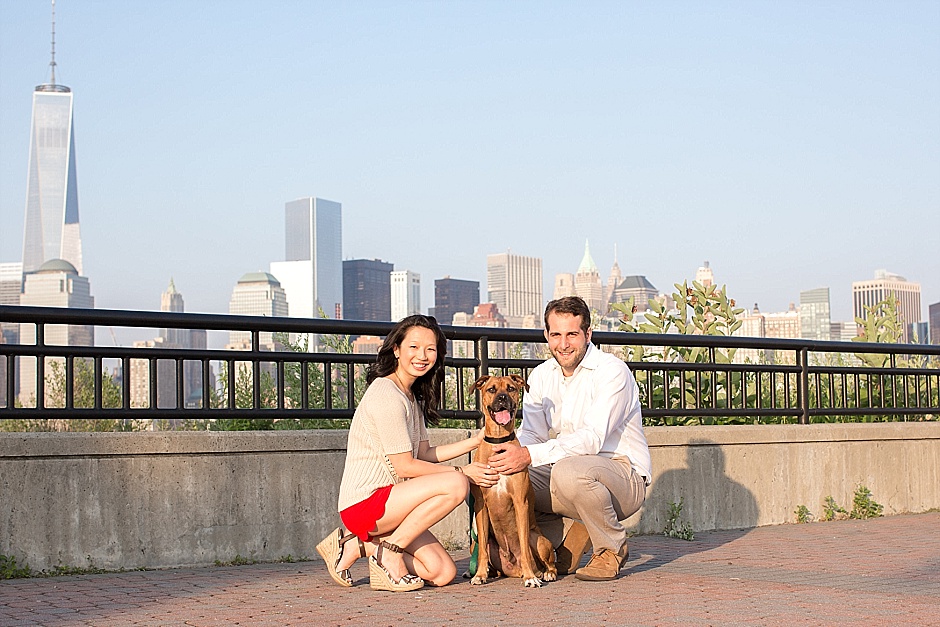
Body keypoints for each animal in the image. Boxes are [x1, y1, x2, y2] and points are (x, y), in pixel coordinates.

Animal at [468, 376, 556, 588]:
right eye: (491, 389)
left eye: (511, 388)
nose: (502, 398)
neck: (499, 442)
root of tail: (513, 570)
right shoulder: (481, 506)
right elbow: (482, 551)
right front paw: (480, 575)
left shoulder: (520, 503)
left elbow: (523, 547)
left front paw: (530, 578)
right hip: (481, 542)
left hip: (539, 539)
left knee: (548, 562)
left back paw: (543, 573)